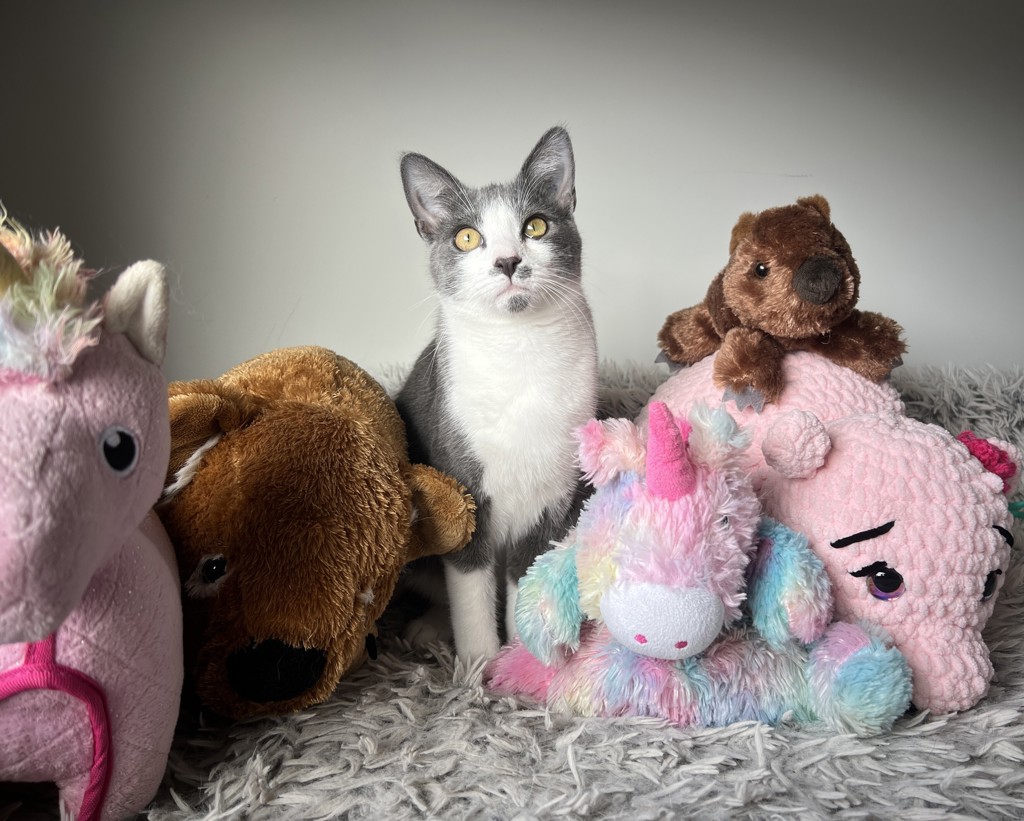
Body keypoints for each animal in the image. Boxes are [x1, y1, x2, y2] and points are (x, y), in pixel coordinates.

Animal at [395, 126, 599, 663]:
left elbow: (525, 574)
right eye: (467, 237)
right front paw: (479, 667)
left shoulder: (552, 500)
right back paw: (428, 630)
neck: (519, 348)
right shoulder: (461, 484)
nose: (508, 261)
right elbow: (470, 584)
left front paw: (528, 660)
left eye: (536, 226)